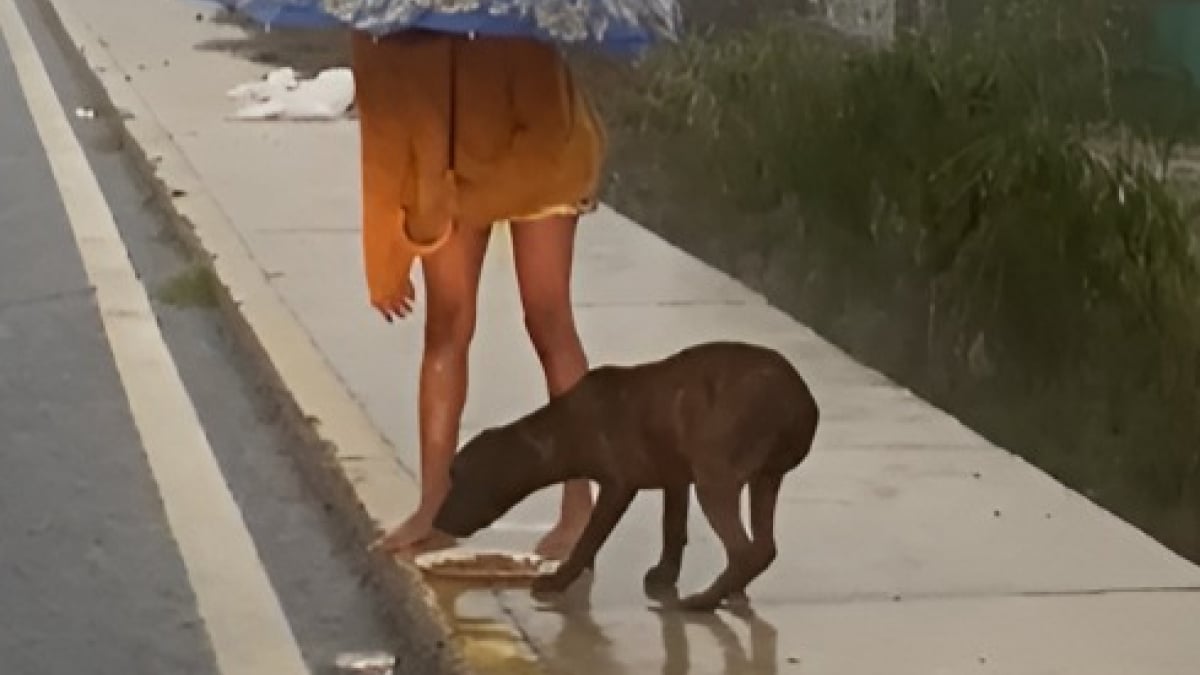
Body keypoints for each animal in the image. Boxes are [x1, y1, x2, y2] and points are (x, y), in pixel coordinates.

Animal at [436, 341, 820, 610]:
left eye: (459, 478)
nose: (437, 521)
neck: (561, 428)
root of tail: (801, 404)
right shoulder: (676, 477)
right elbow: (673, 528)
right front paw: (665, 575)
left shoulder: (618, 485)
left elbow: (589, 538)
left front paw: (558, 580)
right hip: (765, 479)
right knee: (763, 548)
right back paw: (730, 590)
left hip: (716, 480)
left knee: (743, 550)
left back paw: (703, 602)